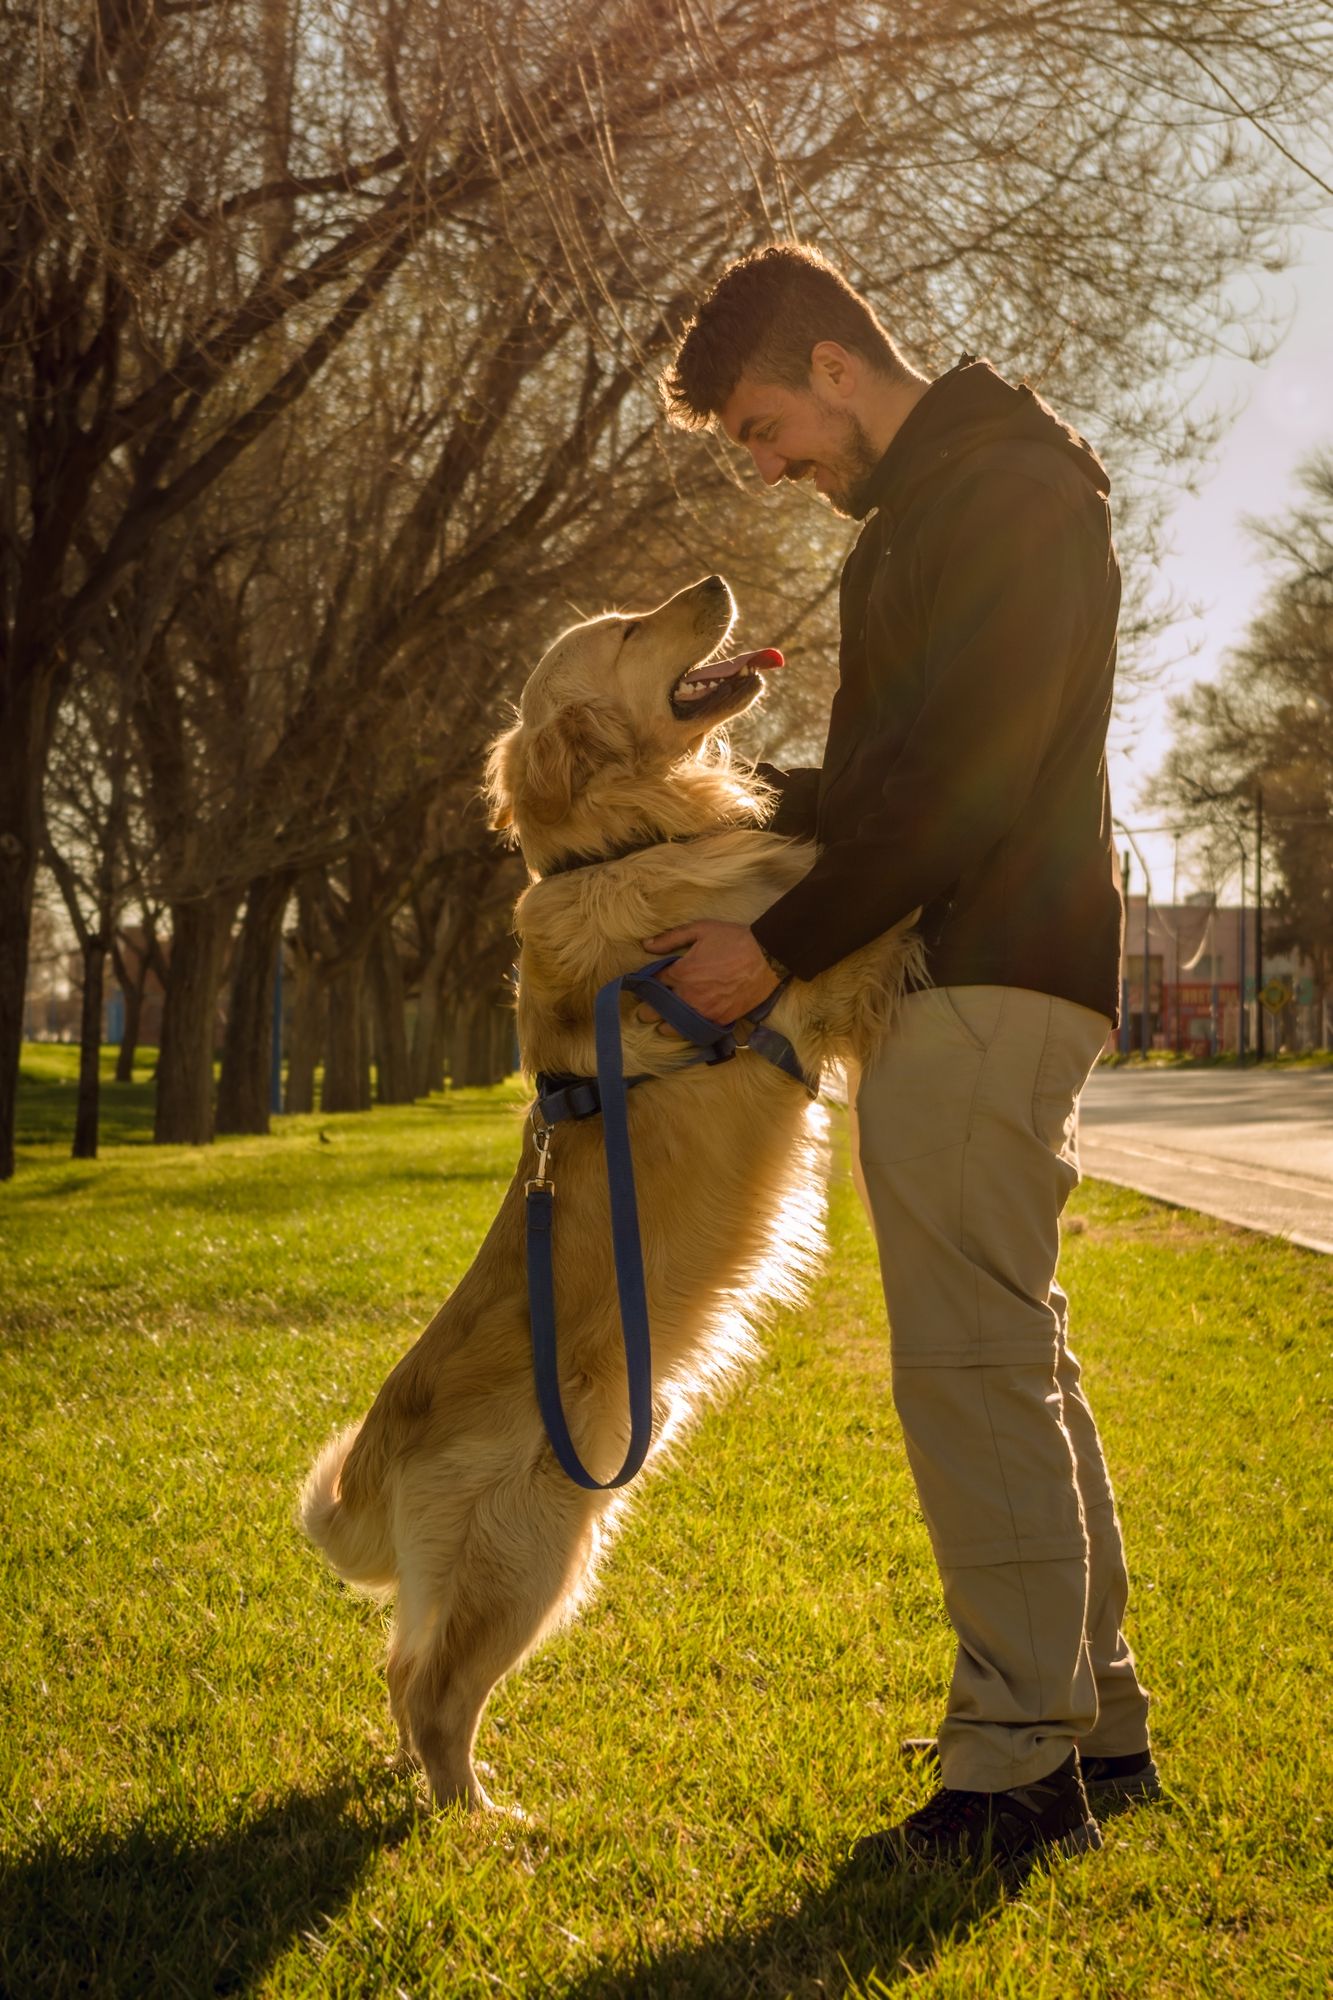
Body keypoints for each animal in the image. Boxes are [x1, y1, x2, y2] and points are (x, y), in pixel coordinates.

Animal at [298, 576, 912, 1816]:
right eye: (630, 630)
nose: (712, 583)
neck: (617, 843)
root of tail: (384, 1445)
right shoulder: (807, 954)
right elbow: (881, 898)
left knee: (400, 1667)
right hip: (536, 1546)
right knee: (435, 1690)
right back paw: (483, 1819)